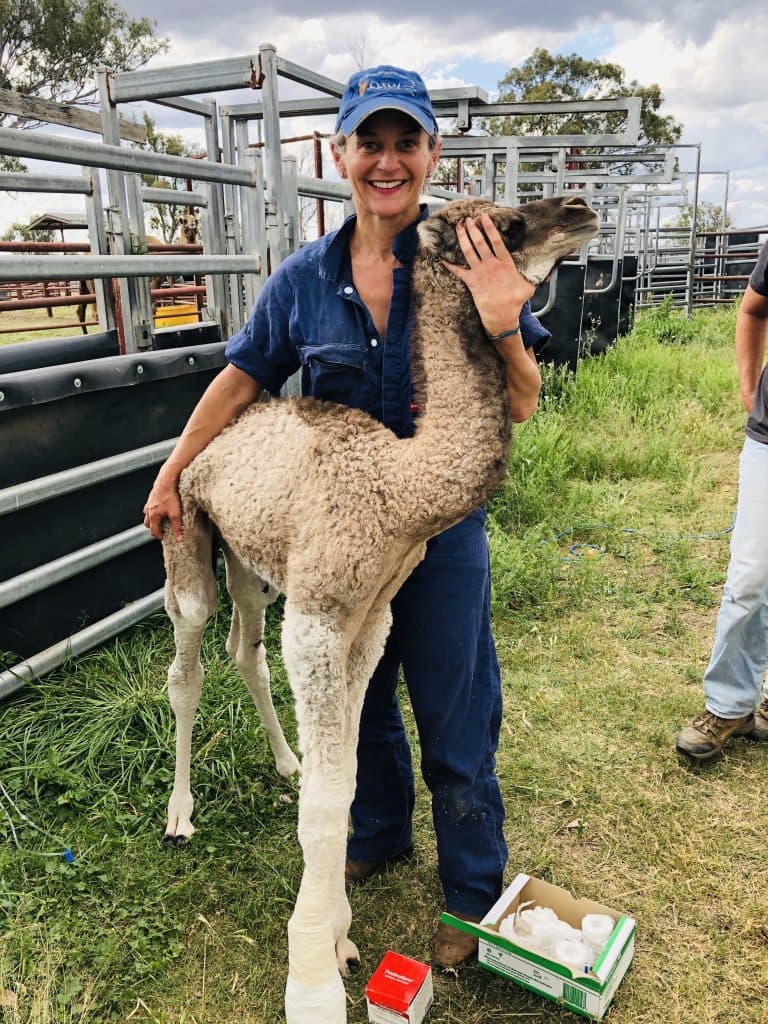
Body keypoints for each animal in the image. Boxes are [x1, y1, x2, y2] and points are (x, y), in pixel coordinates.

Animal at [162, 193, 602, 1024]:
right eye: (504, 224)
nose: (580, 207)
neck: (402, 490)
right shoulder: (319, 618)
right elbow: (329, 801)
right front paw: (311, 982)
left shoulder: (370, 621)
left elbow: (349, 780)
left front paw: (339, 937)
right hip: (187, 538)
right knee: (188, 665)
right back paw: (179, 815)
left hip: (251, 561)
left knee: (245, 648)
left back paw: (283, 759)